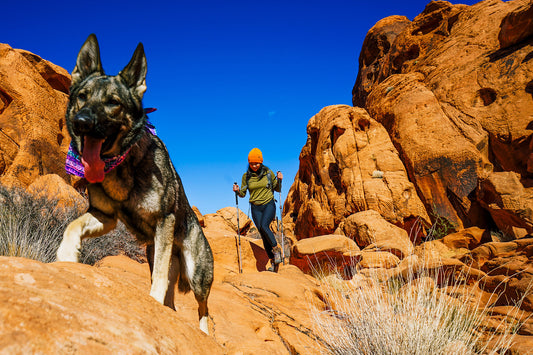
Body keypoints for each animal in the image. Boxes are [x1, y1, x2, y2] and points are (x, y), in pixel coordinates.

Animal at [57, 34, 214, 336]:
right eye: (82, 96)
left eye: (113, 102)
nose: (82, 122)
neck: (121, 163)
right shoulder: (105, 217)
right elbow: (72, 225)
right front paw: (66, 254)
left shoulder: (164, 220)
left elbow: (159, 279)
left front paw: (152, 301)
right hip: (156, 253)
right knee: (172, 301)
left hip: (197, 273)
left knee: (203, 308)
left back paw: (203, 332)